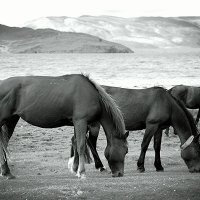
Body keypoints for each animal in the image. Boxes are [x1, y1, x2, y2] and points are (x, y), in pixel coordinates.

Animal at [0, 74, 128, 179]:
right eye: (125, 150)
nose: (119, 173)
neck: (92, 95)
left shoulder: (78, 123)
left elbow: (76, 143)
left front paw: (75, 169)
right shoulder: (81, 122)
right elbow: (81, 145)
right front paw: (81, 172)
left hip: (11, 120)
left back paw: (7, 173)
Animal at [69, 86, 200, 173]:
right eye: (198, 152)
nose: (197, 169)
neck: (167, 103)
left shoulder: (159, 128)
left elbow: (157, 147)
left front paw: (159, 166)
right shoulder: (151, 125)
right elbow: (145, 145)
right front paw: (140, 166)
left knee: (78, 140)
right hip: (94, 124)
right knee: (90, 142)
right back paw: (99, 166)